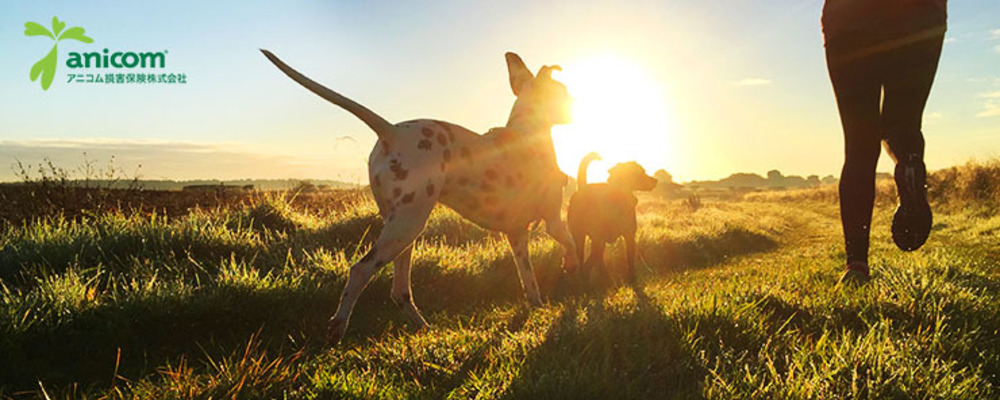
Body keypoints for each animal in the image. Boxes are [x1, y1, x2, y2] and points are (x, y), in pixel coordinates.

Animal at [262, 49, 584, 344]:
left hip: (403, 231)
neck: (528, 132)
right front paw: (573, 268)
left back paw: (423, 327)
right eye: (563, 91)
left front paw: (538, 305)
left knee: (399, 291)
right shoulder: (553, 221)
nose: (575, 106)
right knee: (360, 271)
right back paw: (338, 327)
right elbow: (571, 244)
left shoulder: (517, 234)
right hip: (407, 226)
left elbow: (529, 281)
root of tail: (392, 132)